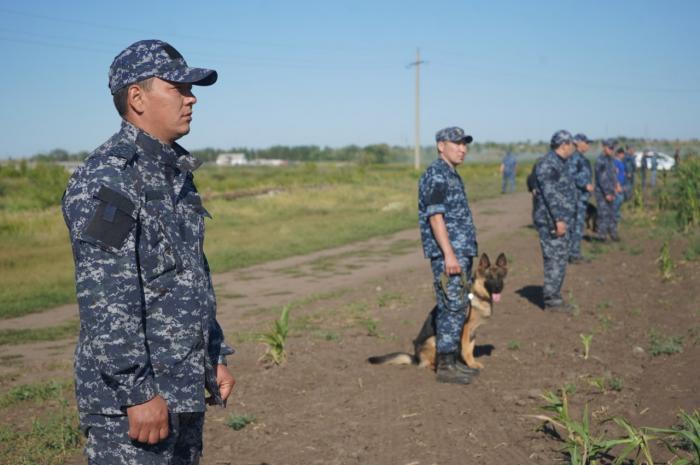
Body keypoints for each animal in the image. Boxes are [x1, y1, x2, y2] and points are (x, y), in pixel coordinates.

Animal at [366, 252, 508, 368]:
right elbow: (466, 350)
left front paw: (471, 362)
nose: (498, 288)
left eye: (500, 276)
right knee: (431, 362)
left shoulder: (473, 333)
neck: (477, 294)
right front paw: (471, 365)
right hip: (434, 339)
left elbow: (469, 349)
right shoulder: (465, 329)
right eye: (489, 277)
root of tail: (416, 358)